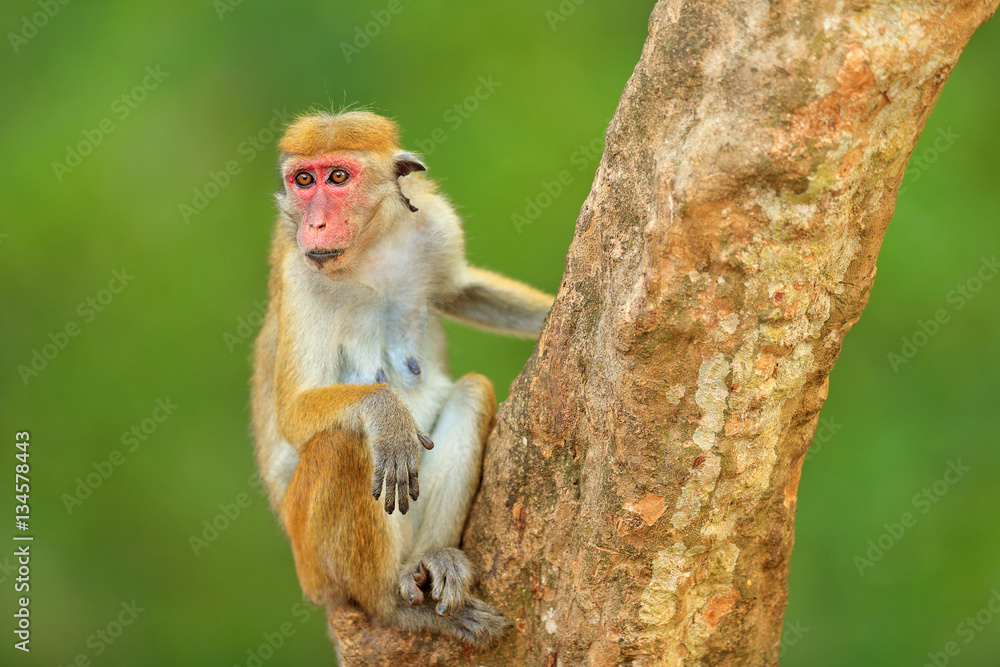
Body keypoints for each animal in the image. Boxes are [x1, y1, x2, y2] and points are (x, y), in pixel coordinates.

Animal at [251, 110, 554, 647]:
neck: (369, 250)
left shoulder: (434, 223)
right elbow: (293, 412)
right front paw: (385, 411)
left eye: (338, 177)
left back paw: (433, 563)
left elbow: (462, 290)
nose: (314, 223)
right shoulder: (297, 271)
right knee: (342, 443)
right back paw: (392, 604)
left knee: (472, 391)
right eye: (303, 181)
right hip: (314, 559)